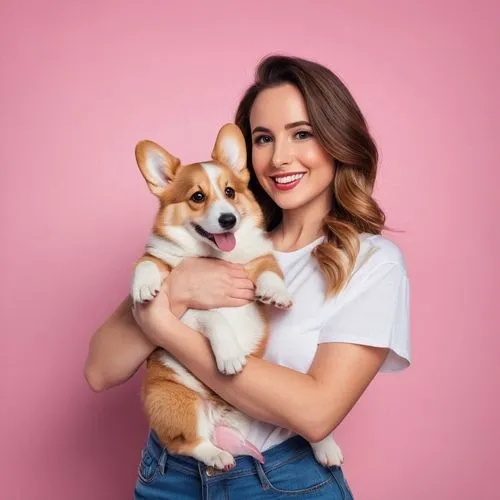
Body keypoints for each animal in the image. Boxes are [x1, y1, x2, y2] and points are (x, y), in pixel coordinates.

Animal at [133, 124, 294, 468]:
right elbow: (150, 265)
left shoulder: (259, 258)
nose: (228, 219)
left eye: (230, 192)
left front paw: (276, 293)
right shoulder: (181, 301)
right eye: (197, 197)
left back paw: (326, 446)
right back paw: (218, 455)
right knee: (185, 443)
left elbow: (270, 270)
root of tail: (222, 416)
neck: (215, 256)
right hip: (174, 398)